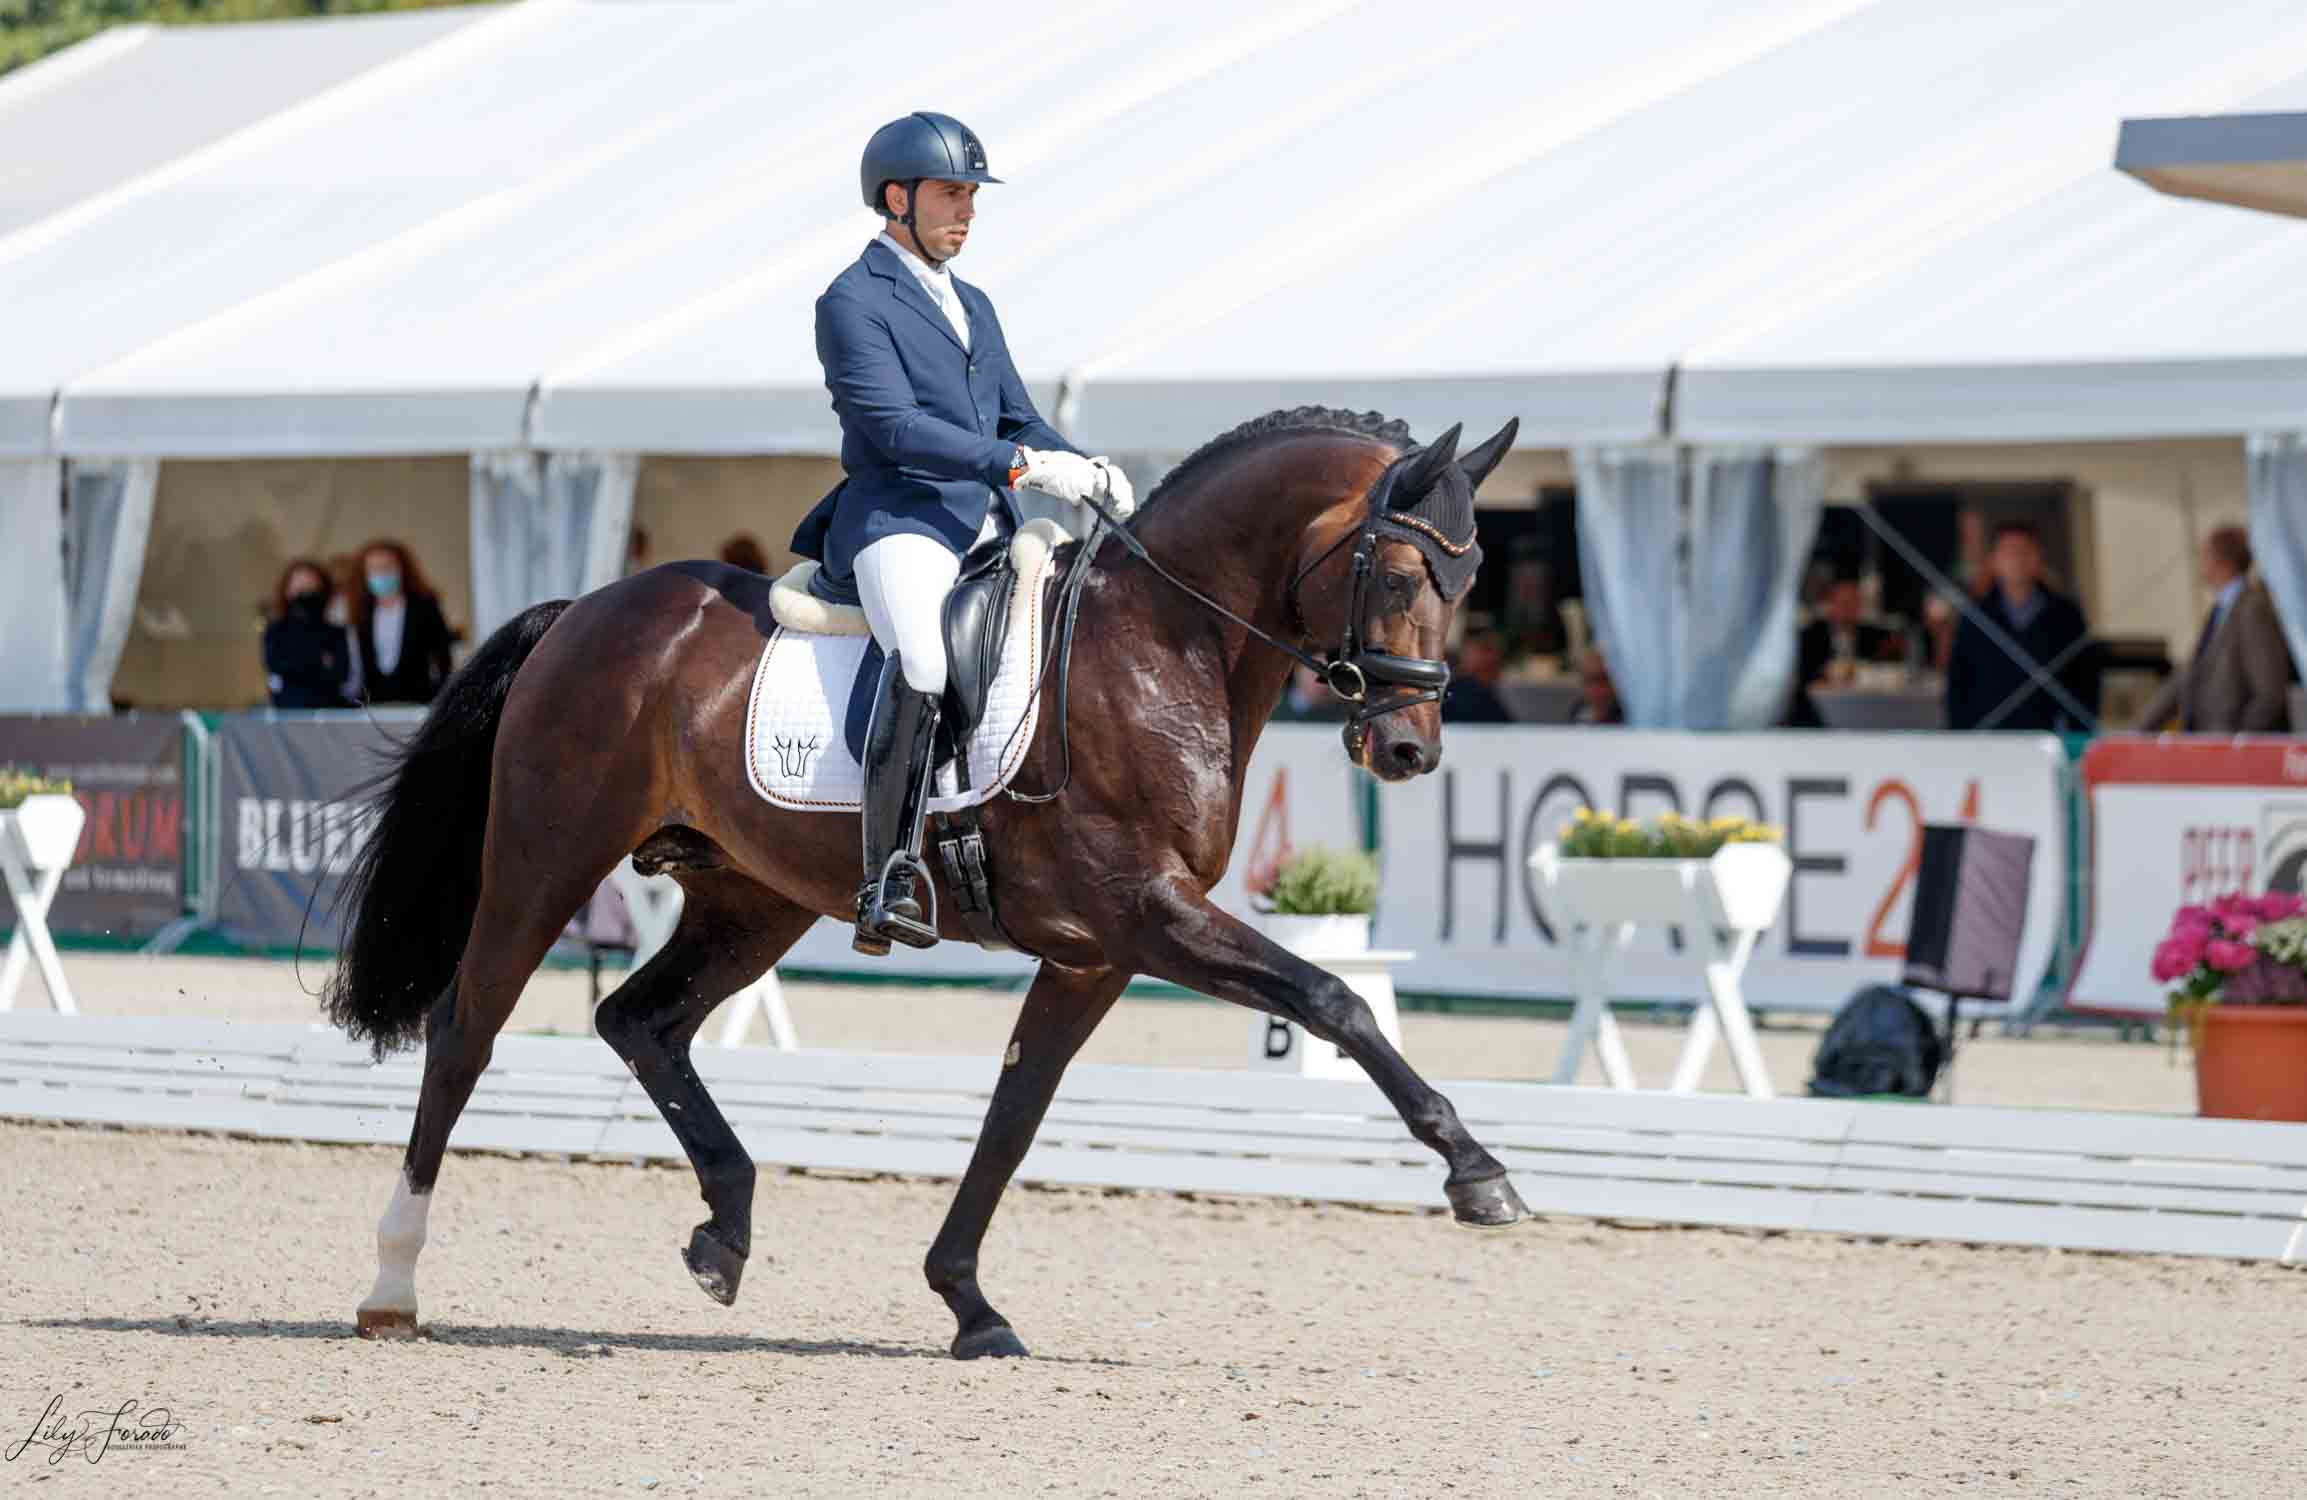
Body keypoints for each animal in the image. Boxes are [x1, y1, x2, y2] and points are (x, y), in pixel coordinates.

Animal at [329, 399, 1531, 1356]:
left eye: (1471, 577)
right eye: (1399, 570)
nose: (1409, 750)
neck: (1161, 644)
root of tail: (580, 611)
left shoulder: (1094, 955)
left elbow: (1016, 1111)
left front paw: (968, 1304)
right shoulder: (1149, 916)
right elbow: (1334, 1000)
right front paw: (1479, 1175)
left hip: (751, 899)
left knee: (640, 1020)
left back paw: (725, 1231)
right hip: (546, 854)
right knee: (468, 1026)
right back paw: (392, 1281)